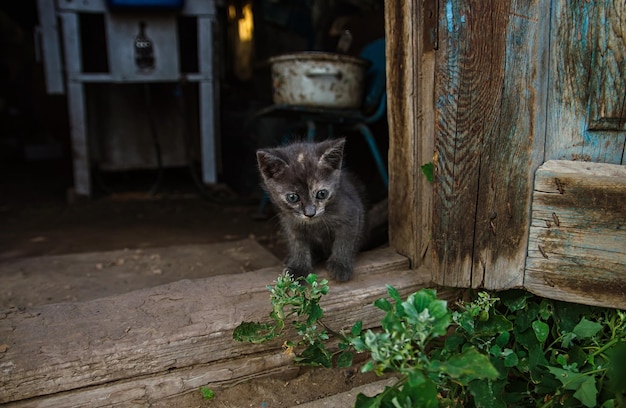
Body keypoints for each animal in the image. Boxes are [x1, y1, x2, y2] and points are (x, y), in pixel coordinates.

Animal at [255, 139, 364, 282]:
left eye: (322, 194)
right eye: (293, 197)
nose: (310, 213)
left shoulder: (350, 212)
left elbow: (345, 240)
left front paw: (340, 265)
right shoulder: (291, 223)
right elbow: (298, 245)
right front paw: (298, 268)